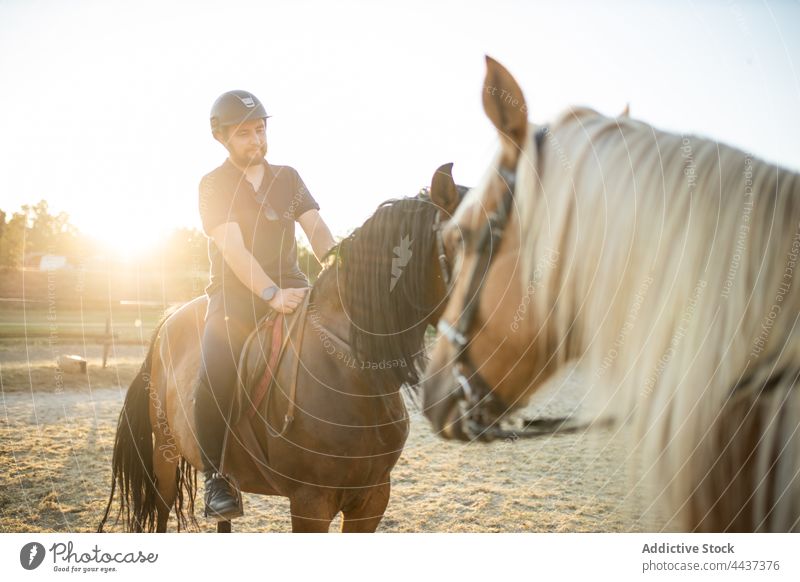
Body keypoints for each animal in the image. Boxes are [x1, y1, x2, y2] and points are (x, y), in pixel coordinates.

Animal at [100, 165, 466, 532]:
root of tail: (169, 320)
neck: (350, 372)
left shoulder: (373, 496)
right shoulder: (310, 501)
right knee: (162, 507)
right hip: (165, 453)